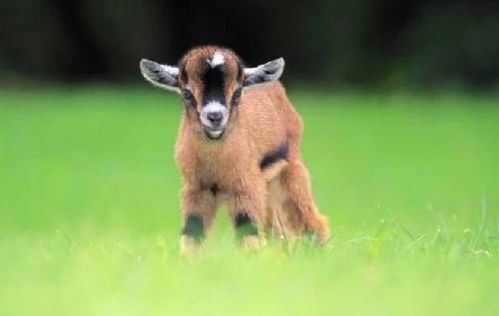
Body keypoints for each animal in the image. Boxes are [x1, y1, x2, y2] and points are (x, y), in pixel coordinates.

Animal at [139, 45, 330, 252]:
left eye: (238, 92)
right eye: (187, 93)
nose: (215, 117)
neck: (215, 165)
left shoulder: (246, 187)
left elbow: (248, 234)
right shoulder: (196, 189)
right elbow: (192, 233)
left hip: (290, 171)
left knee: (311, 221)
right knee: (275, 232)